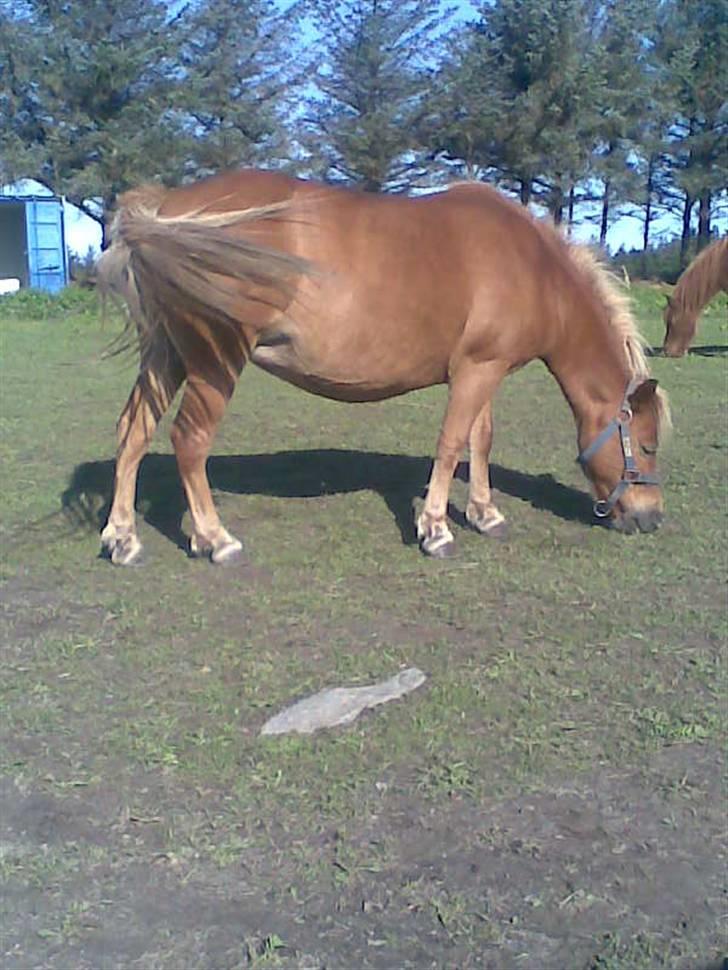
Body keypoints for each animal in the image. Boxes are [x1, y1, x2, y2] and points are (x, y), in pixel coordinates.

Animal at [98, 165, 672, 560]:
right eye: (646, 445)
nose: (652, 519)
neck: (531, 265)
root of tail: (167, 210)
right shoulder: (475, 372)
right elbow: (450, 445)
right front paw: (436, 529)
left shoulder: (485, 369)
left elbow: (479, 440)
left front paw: (484, 513)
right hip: (214, 361)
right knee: (189, 441)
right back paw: (215, 539)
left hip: (167, 355)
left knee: (134, 431)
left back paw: (123, 537)